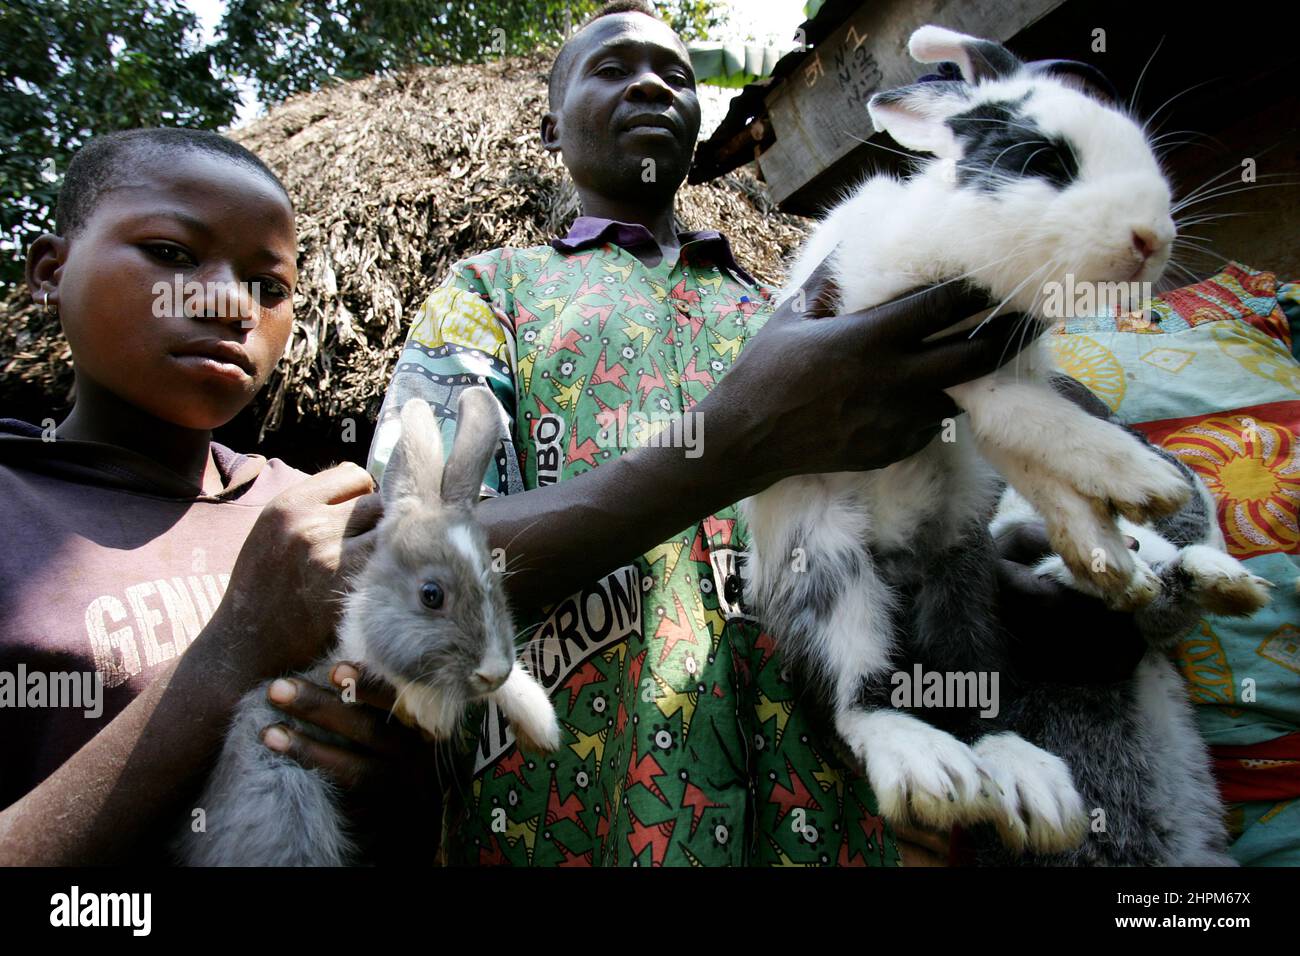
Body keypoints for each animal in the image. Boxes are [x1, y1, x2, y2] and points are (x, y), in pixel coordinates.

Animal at [175, 390, 556, 868]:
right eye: (432, 594)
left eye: (496, 579)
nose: (492, 671)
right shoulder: (355, 651)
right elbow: (388, 667)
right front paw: (433, 712)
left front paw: (541, 726)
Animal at [748, 24, 1263, 858]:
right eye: (1041, 161)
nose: (1154, 240)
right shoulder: (899, 338)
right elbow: (1015, 412)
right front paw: (1139, 477)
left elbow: (1036, 459)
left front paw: (1107, 554)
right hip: (830, 565)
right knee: (857, 695)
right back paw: (931, 770)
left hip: (963, 577)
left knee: (972, 688)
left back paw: (1024, 778)